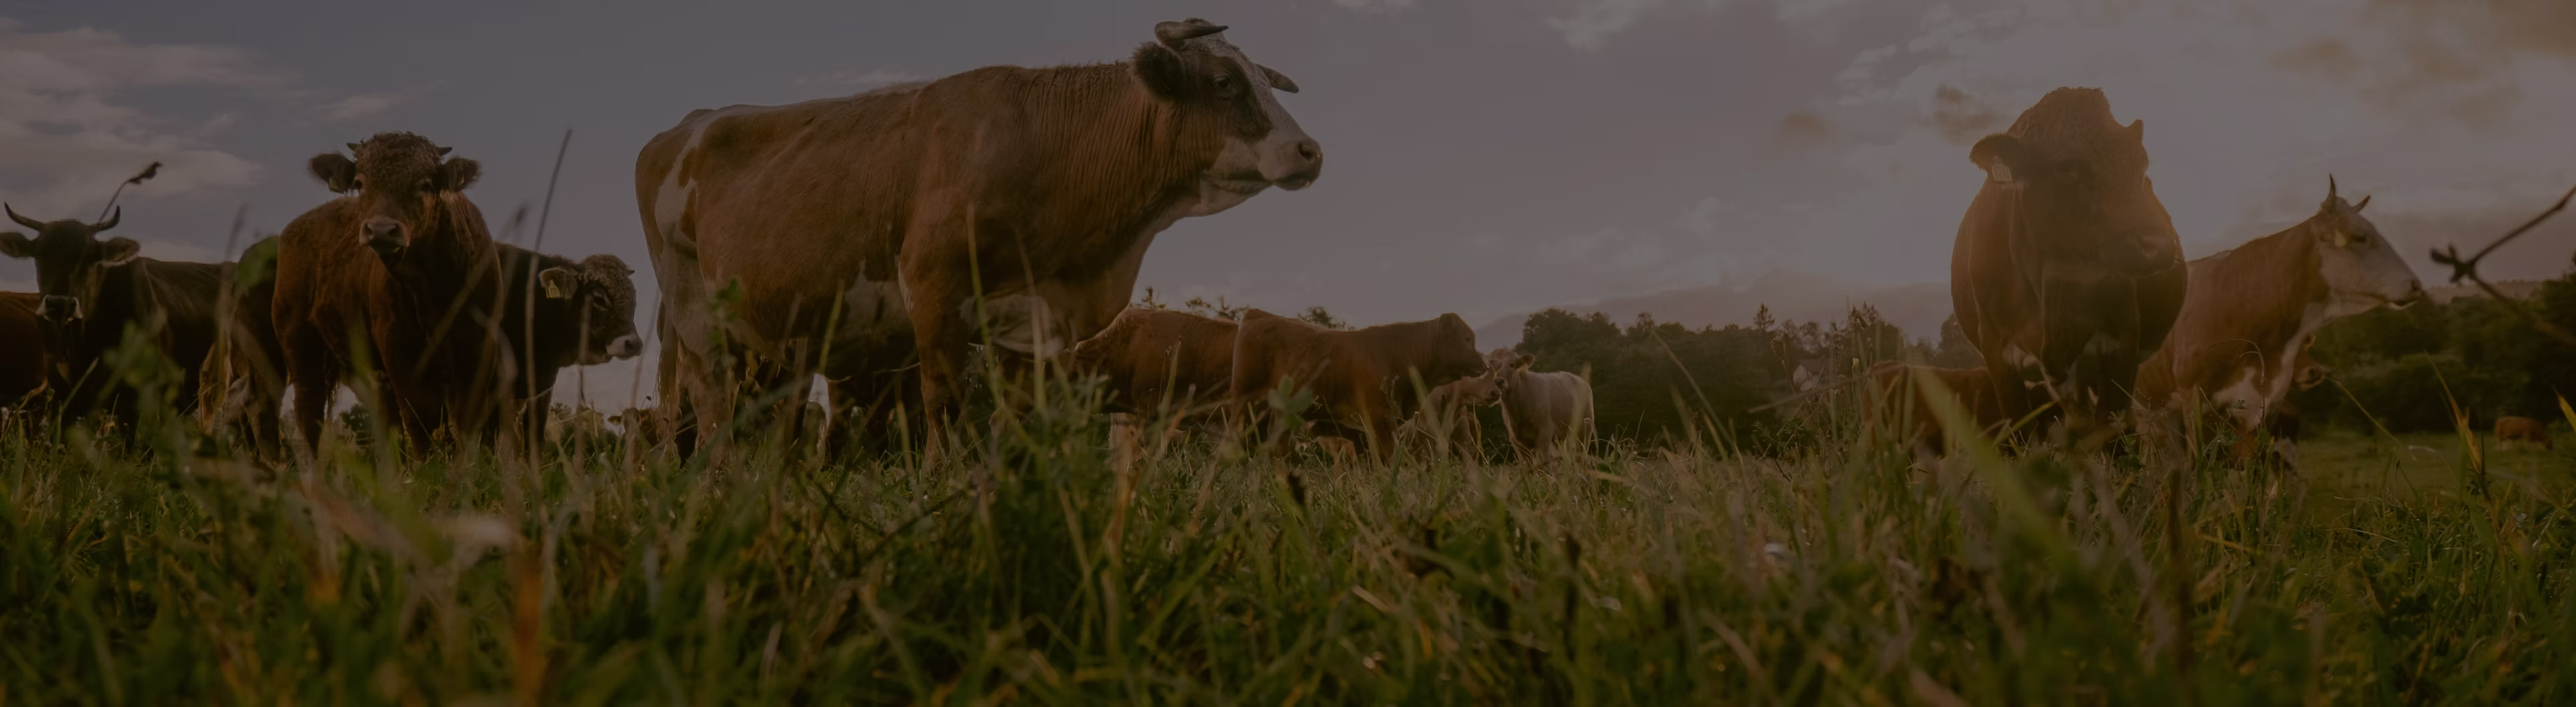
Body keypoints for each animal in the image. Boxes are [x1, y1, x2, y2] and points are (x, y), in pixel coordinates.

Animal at [273, 132, 512, 456]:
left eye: (426, 183)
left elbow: (464, 423)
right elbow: (422, 422)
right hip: (299, 348)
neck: (431, 289)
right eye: (360, 183)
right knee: (309, 417)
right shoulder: (399, 353)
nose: (382, 230)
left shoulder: (477, 348)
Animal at [636, 18, 1322, 461]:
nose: (1309, 151)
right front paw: (941, 484)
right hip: (697, 321)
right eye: (1225, 82)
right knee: (711, 408)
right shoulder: (933, 291)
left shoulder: (1039, 322)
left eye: (1262, 81)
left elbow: (1013, 420)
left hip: (782, 341)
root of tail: (689, 124)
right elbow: (944, 403)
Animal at [1228, 309, 1485, 460]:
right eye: (1467, 339)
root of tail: (1259, 314)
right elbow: (1392, 453)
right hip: (1245, 398)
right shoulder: (1380, 413)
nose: (1485, 364)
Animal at [1487, 350, 1597, 464]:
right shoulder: (1516, 441)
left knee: (1581, 454)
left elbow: (1545, 462)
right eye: (1490, 368)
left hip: (1585, 428)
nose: (1498, 381)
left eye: (1512, 365)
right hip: (1560, 437)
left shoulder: (1545, 433)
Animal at [1951, 87, 2187, 441]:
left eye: (2141, 163)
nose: (2159, 246)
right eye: (2064, 167)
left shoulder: (2123, 339)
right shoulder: (1996, 351)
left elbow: (2113, 431)